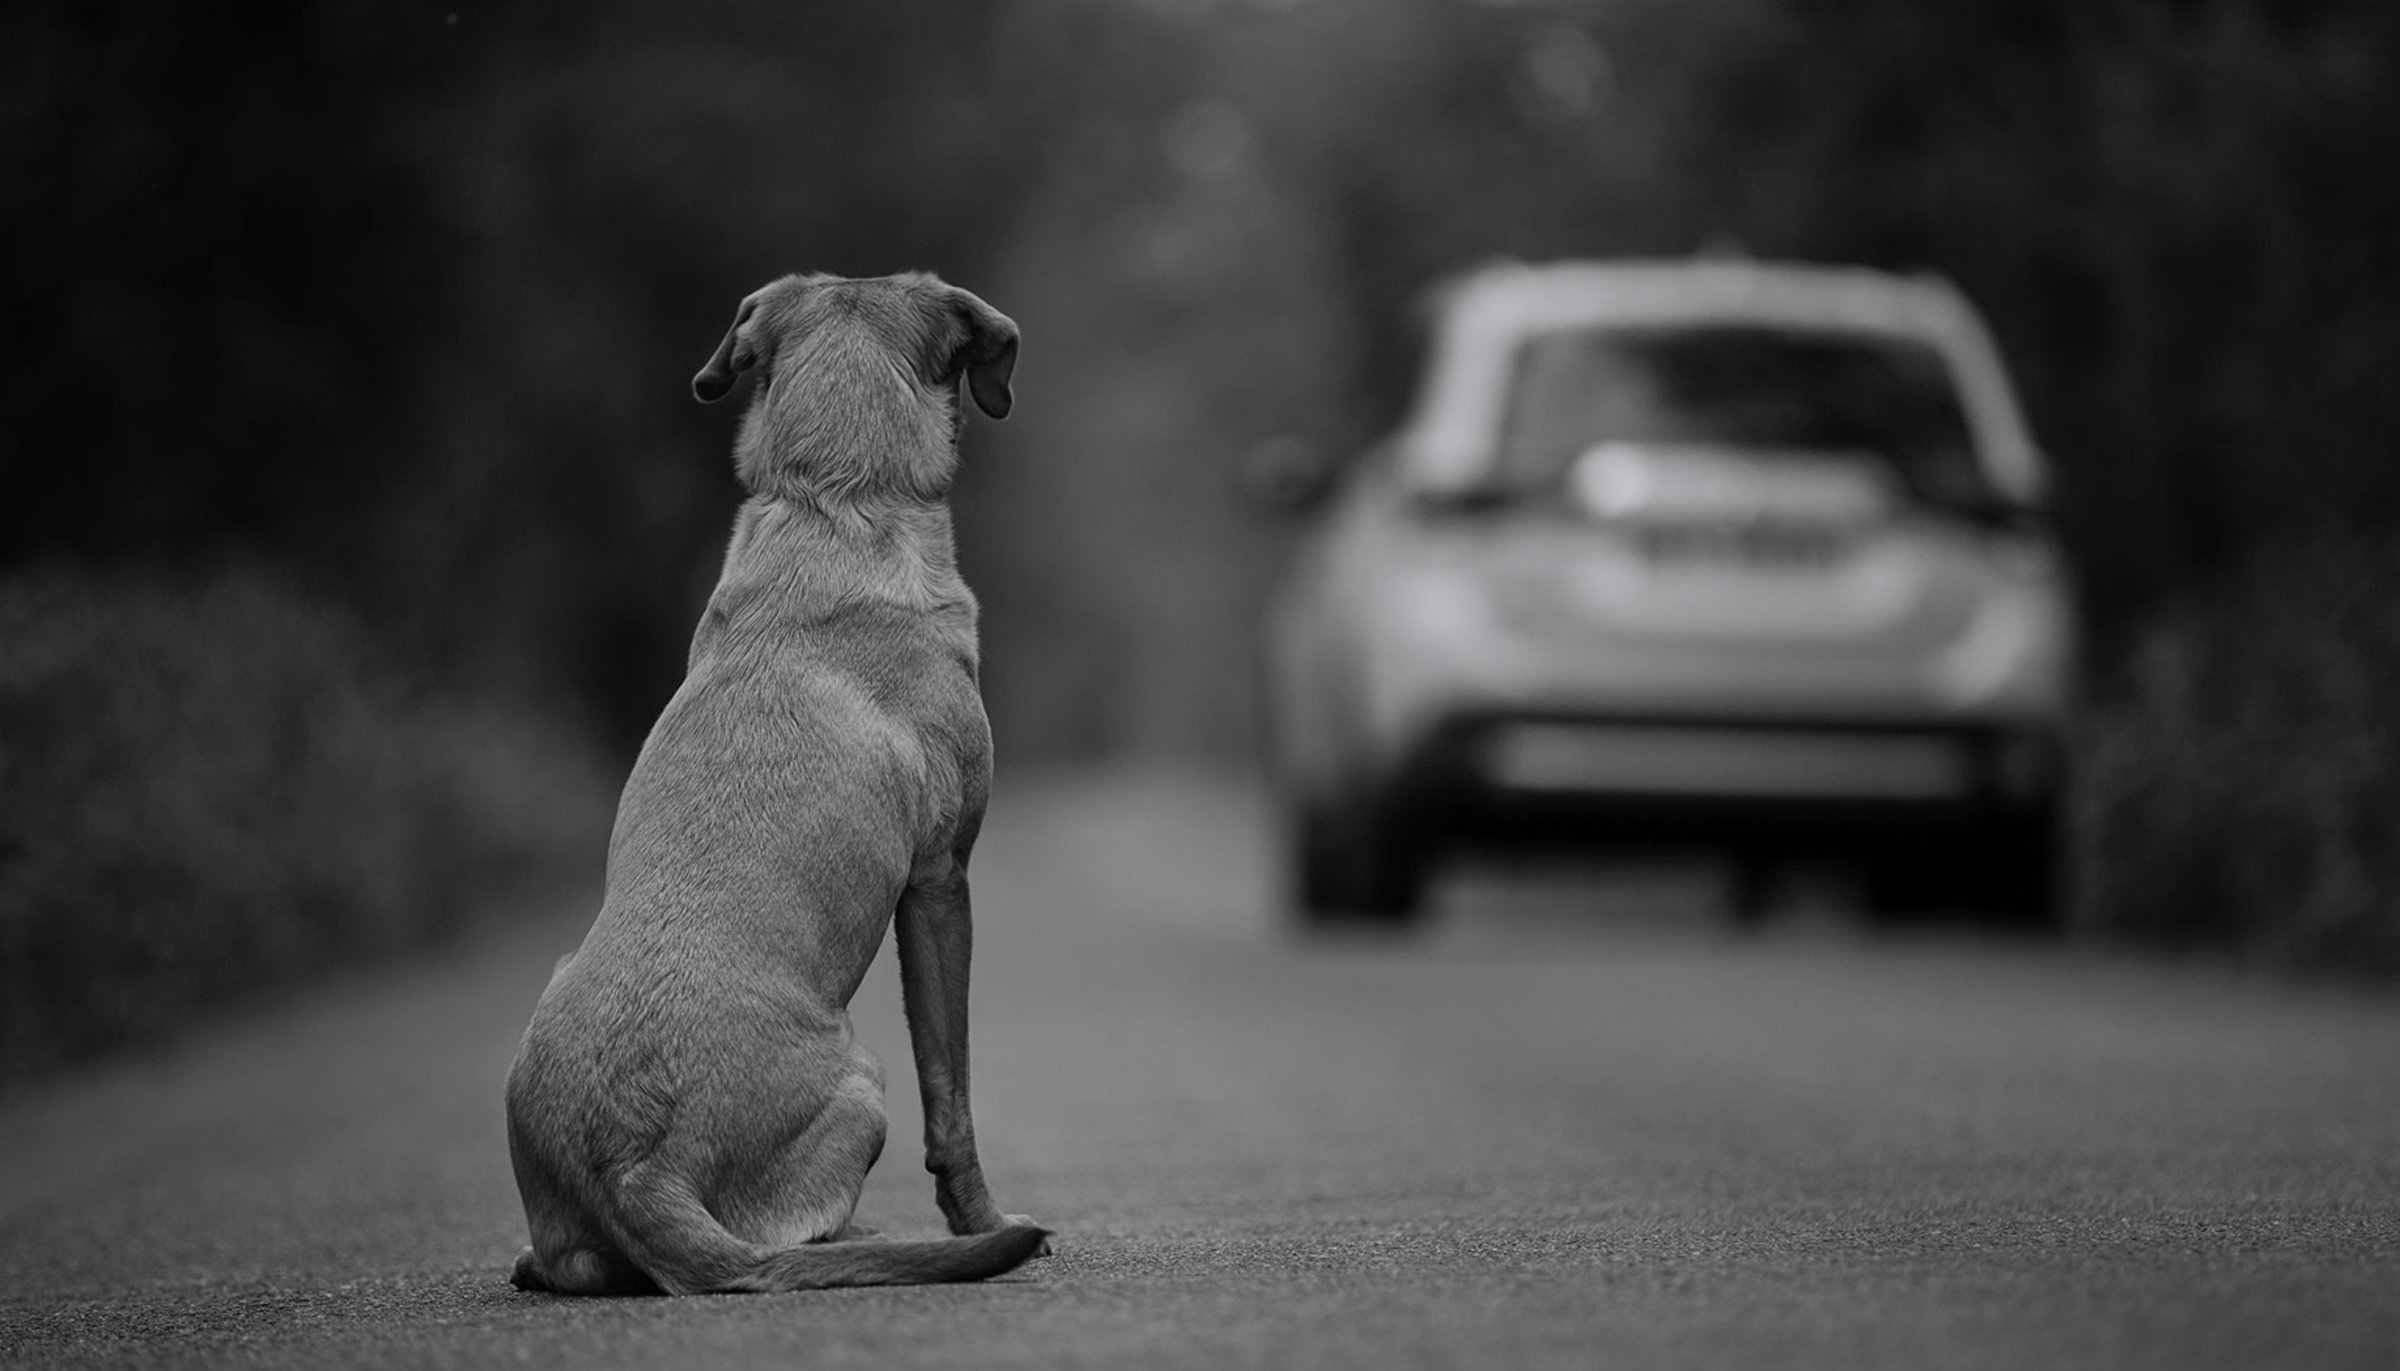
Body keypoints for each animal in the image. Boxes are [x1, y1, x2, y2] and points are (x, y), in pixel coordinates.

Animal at [506, 271, 1051, 1296]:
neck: (835, 499)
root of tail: (634, 1162)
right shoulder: (940, 880)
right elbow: (952, 1093)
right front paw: (984, 1220)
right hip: (865, 1082)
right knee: (798, 1232)